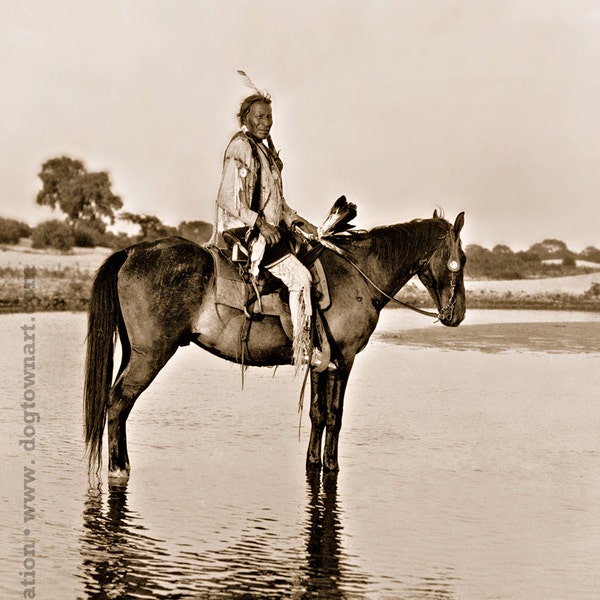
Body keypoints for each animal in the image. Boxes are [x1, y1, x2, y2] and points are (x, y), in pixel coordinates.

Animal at [83, 211, 468, 478]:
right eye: (460, 260)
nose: (458, 314)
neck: (360, 274)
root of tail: (130, 252)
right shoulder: (344, 360)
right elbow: (335, 415)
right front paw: (332, 466)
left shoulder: (322, 361)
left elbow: (317, 414)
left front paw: (314, 463)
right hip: (150, 354)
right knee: (119, 402)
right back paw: (119, 468)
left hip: (133, 352)